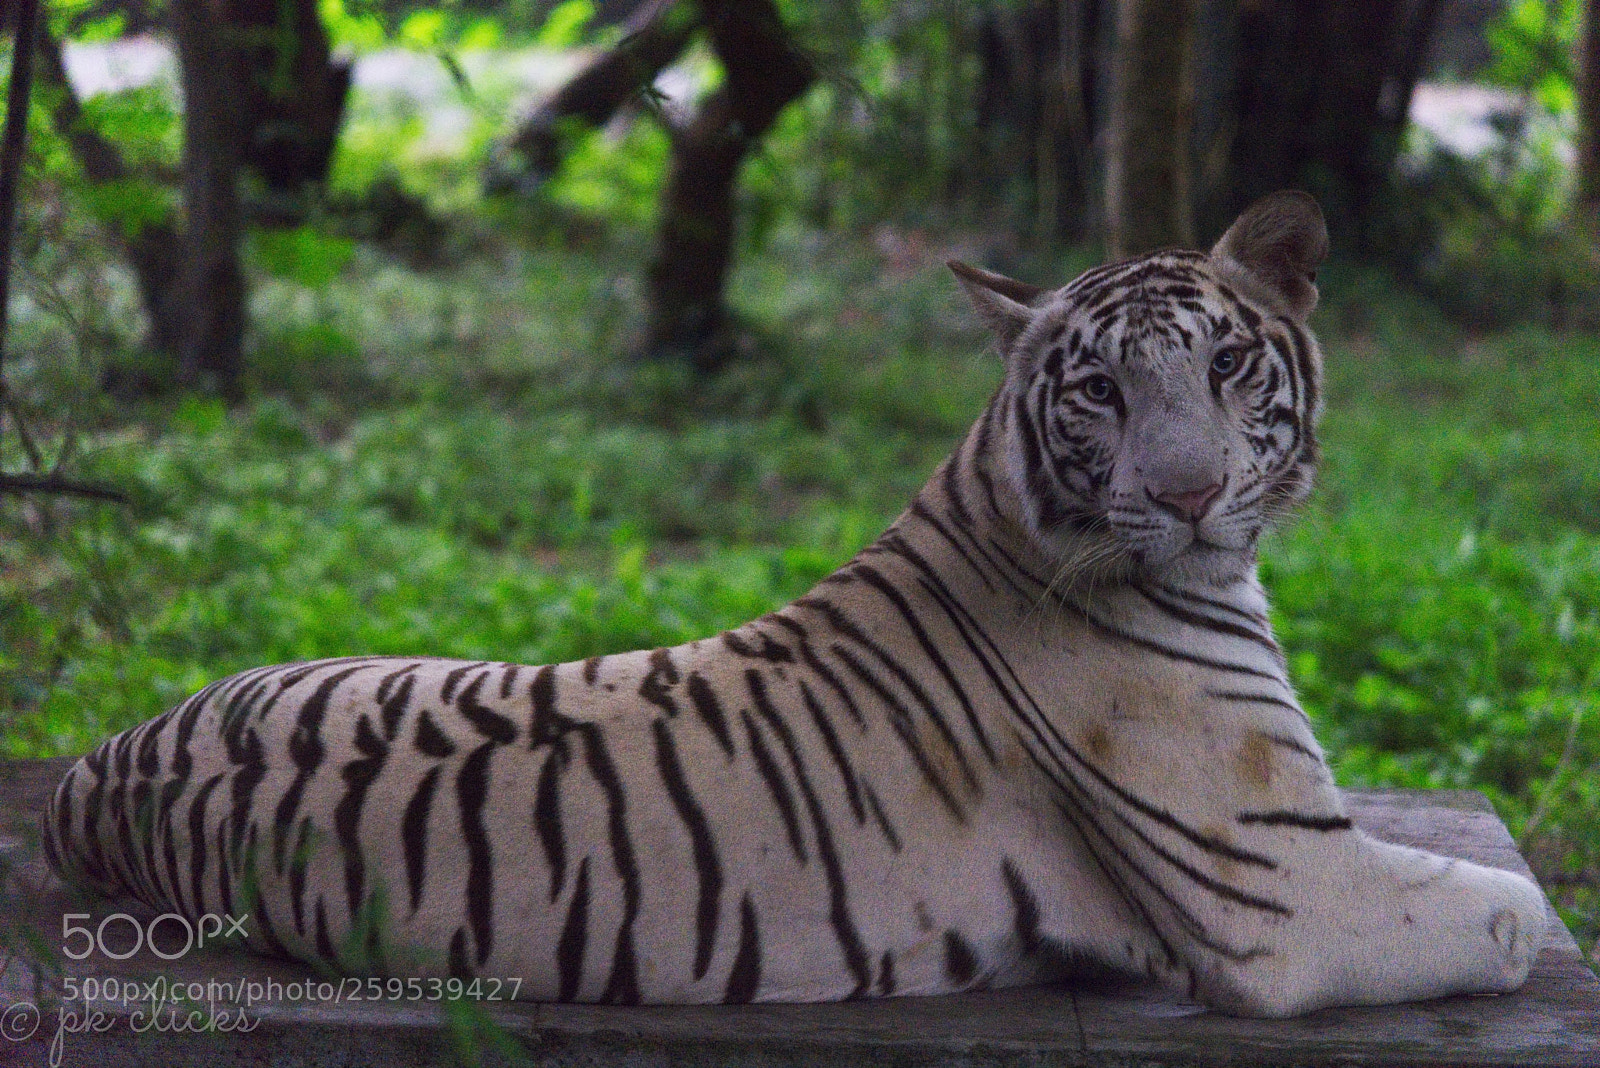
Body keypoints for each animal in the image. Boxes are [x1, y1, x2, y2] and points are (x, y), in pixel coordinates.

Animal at [42, 191, 1545, 1018]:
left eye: (1229, 364)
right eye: (1100, 389)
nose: (1185, 497)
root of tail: (92, 771)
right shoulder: (1293, 894)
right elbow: (1517, 910)